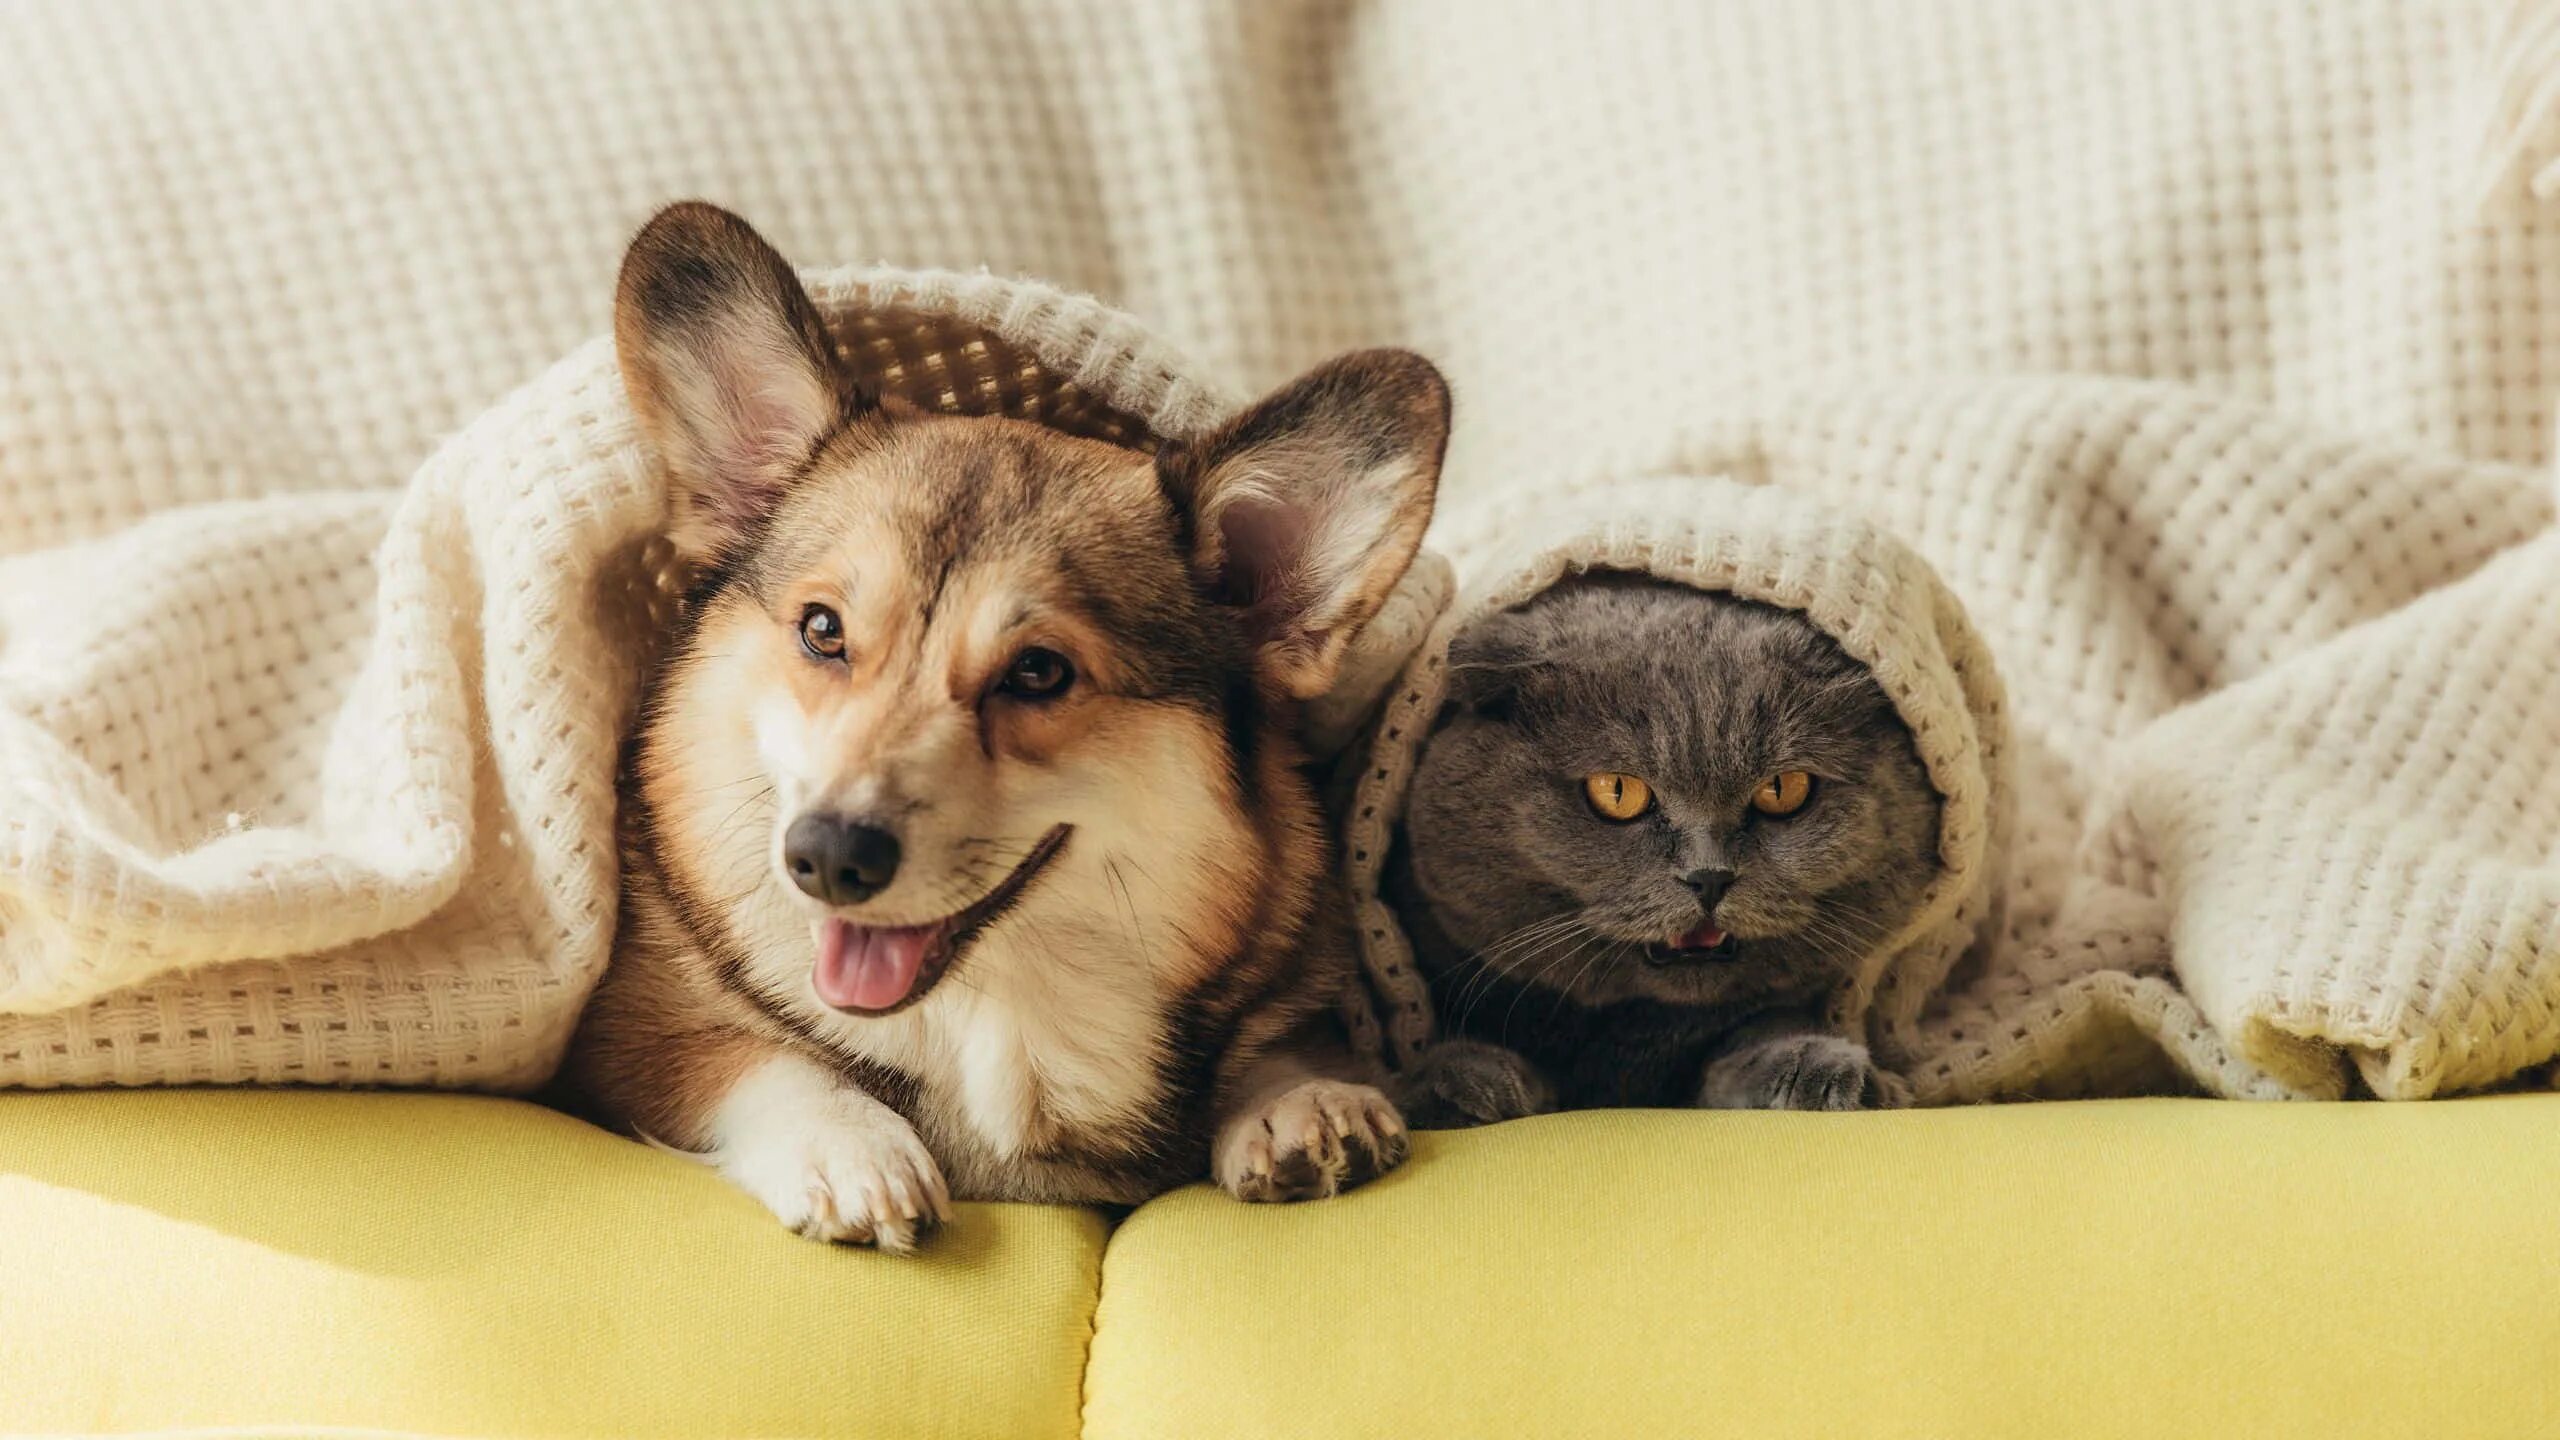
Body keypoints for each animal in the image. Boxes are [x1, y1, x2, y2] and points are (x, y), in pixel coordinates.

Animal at [563, 202, 1454, 1245]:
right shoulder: (626, 1035)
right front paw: (850, 1147)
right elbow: (756, 1057)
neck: (997, 1015)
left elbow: (1285, 1044)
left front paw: (1301, 1098)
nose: (825, 857)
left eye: (1038, 672)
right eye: (822, 630)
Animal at [1392, 571, 1925, 1122]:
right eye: (1617, 791)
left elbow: (1761, 1026)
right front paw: (1457, 1082)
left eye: (1783, 789)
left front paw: (1822, 1068)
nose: (1709, 876)